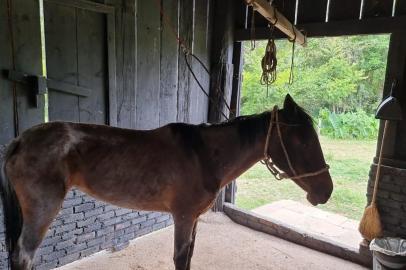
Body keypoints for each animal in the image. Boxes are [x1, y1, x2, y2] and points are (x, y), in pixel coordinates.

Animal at [0, 94, 334, 268]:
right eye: (303, 141)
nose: (326, 191)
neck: (204, 154)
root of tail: (20, 141)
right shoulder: (183, 217)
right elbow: (180, 258)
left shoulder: (193, 219)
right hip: (43, 209)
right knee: (24, 255)